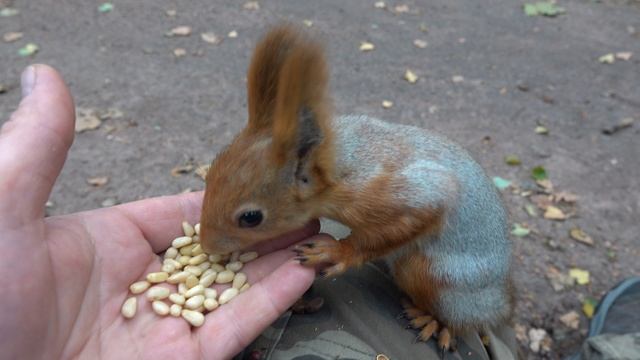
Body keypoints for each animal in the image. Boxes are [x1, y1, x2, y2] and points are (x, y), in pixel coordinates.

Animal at [200, 23, 516, 350]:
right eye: (209, 174)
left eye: (251, 218)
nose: (206, 245)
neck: (342, 168)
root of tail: (500, 303)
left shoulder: (400, 194)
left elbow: (401, 222)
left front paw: (336, 251)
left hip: (438, 275)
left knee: (463, 319)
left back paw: (437, 322)